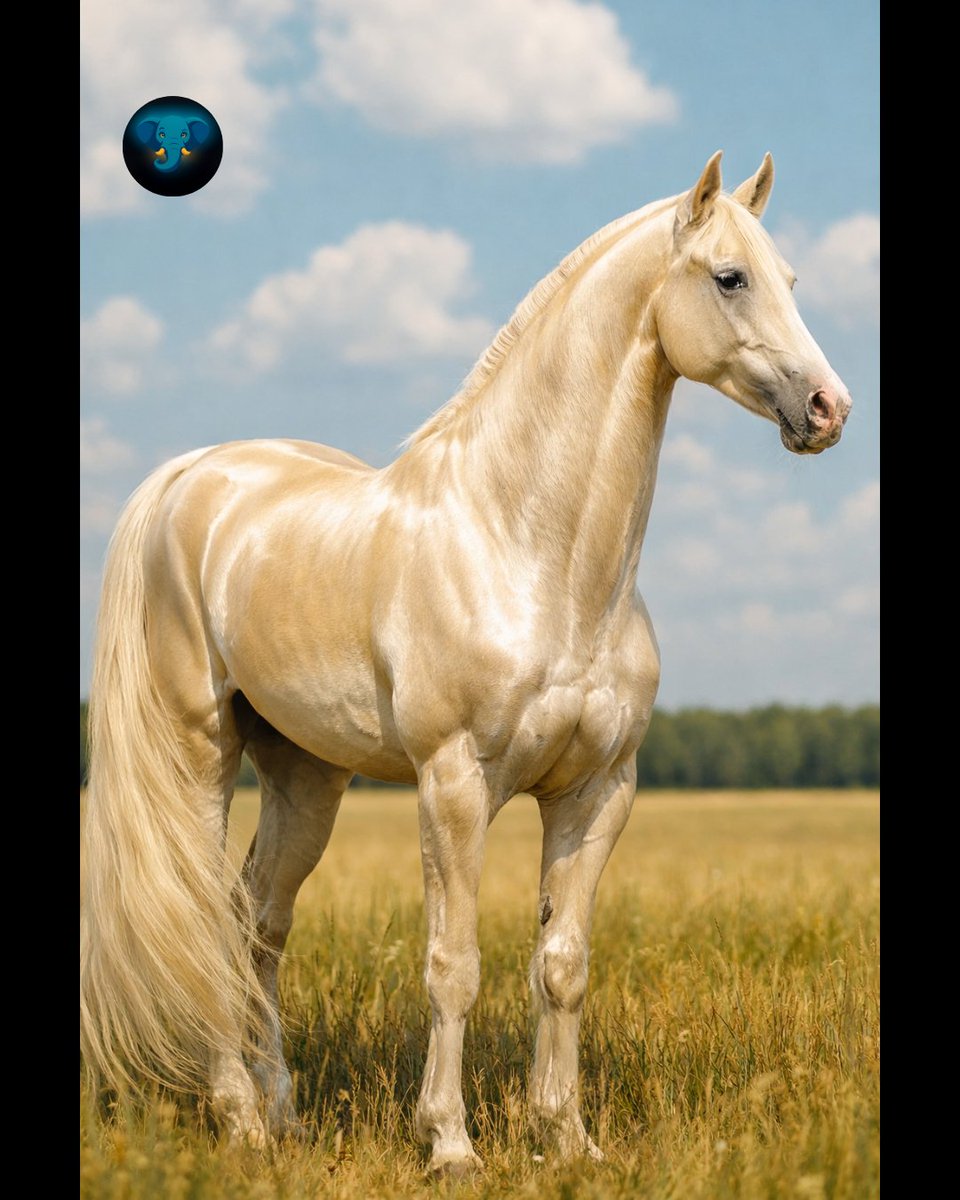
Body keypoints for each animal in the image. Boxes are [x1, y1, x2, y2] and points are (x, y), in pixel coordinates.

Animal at [80, 151, 851, 1174]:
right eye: (730, 277)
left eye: (790, 280)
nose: (829, 409)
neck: (531, 550)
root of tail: (187, 476)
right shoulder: (452, 784)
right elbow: (454, 966)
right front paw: (449, 1142)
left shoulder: (598, 791)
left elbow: (562, 965)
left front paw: (567, 1139)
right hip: (199, 750)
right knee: (204, 922)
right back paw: (239, 1115)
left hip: (306, 777)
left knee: (259, 924)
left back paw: (282, 1113)